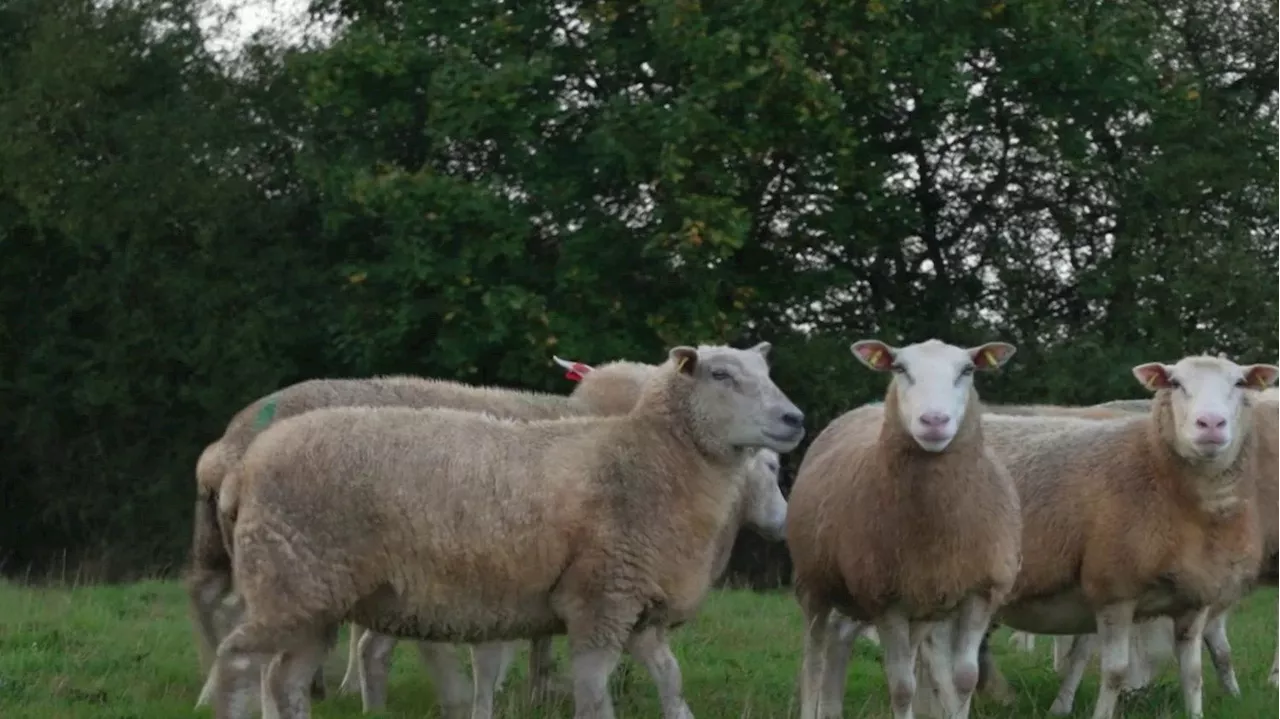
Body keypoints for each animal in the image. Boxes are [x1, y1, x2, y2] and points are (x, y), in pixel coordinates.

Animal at [783, 337, 1024, 716]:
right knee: (815, 659)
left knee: (845, 641)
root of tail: (862, 409)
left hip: (912, 605)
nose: (934, 421)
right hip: (812, 583)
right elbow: (900, 688)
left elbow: (964, 680)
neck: (937, 531)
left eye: (967, 369)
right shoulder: (885, 600)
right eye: (899, 368)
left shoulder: (981, 591)